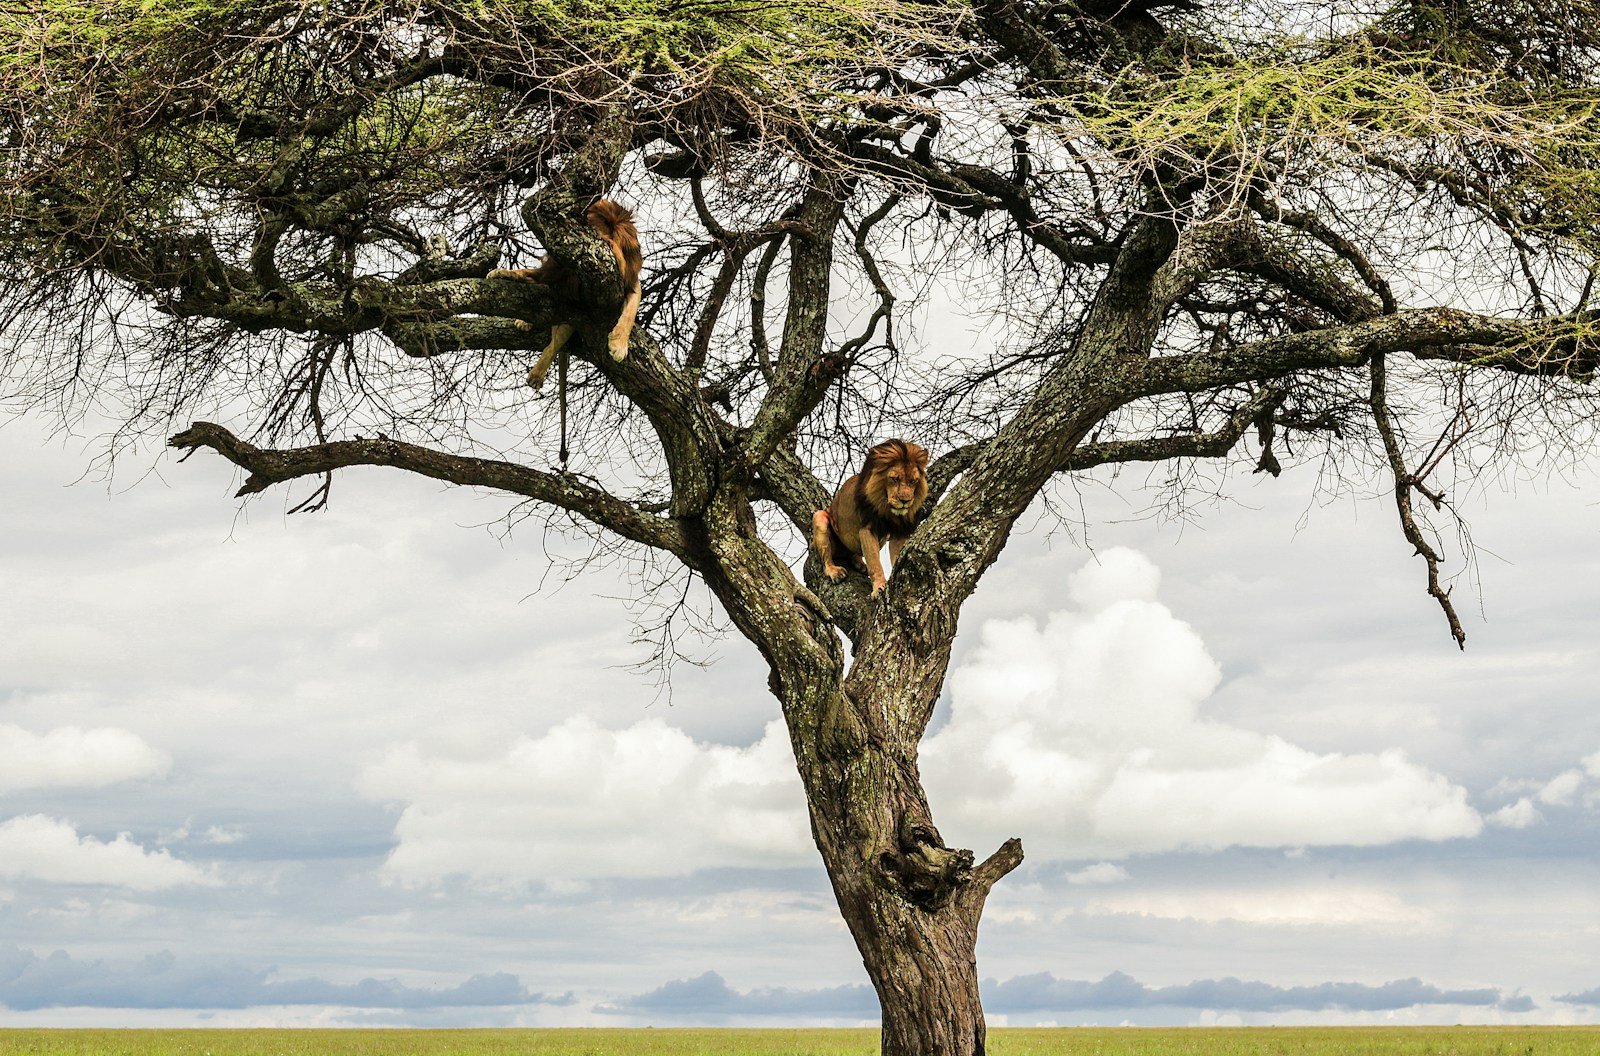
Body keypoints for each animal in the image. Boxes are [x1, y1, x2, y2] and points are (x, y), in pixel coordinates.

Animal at [811, 439, 930, 596]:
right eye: (895, 479)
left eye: (913, 481)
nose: (905, 501)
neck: (888, 509)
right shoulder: (868, 529)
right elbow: (874, 562)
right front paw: (879, 586)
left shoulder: (899, 531)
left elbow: (897, 555)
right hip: (820, 518)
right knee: (826, 559)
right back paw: (835, 572)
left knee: (855, 553)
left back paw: (859, 563)